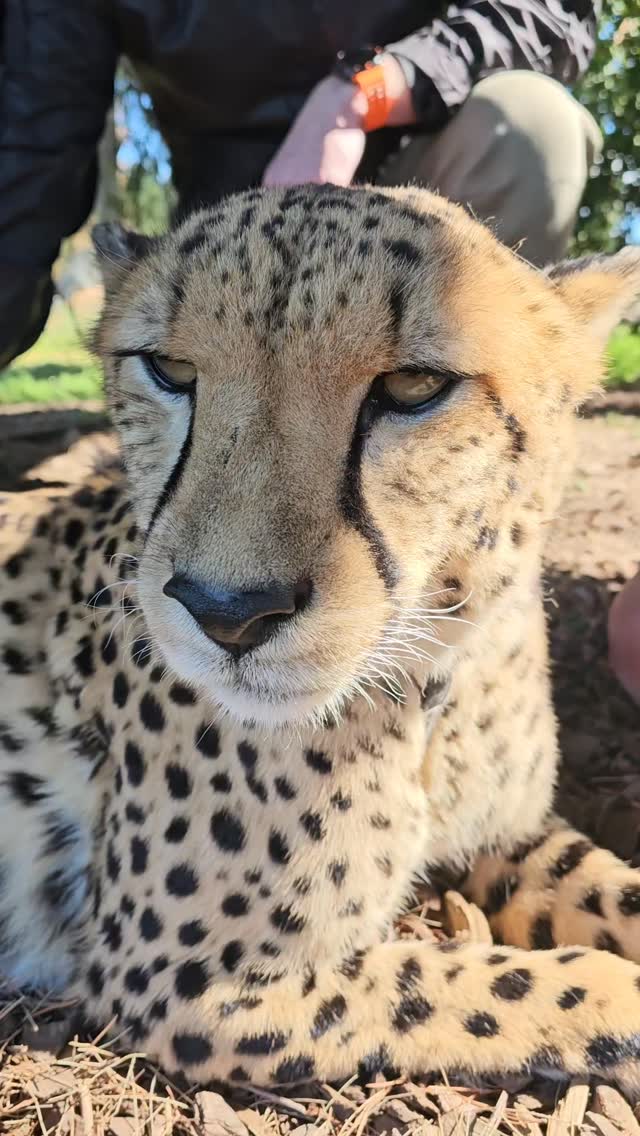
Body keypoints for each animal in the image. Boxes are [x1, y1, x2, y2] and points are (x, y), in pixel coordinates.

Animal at [1, 183, 640, 1095]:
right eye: (171, 371)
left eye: (414, 385)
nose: (227, 610)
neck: (428, 683)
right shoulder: (181, 980)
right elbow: (476, 984)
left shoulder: (508, 831)